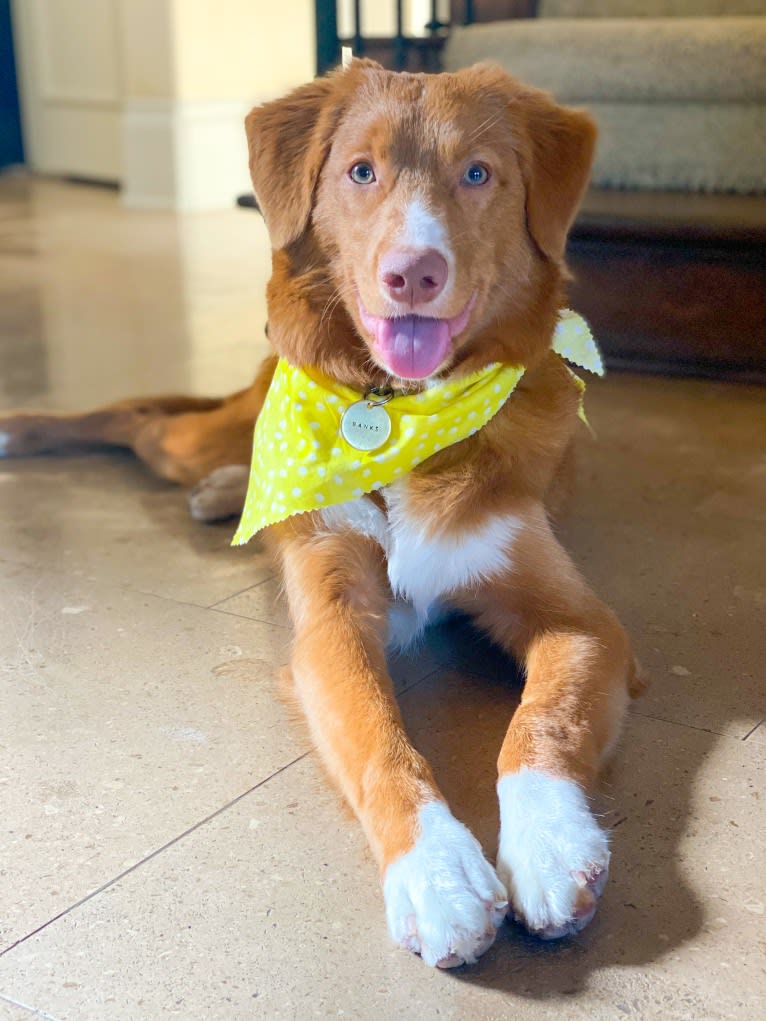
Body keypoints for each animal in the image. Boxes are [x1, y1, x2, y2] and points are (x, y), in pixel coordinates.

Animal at [1, 59, 649, 967]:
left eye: (478, 174)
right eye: (361, 171)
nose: (413, 273)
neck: (398, 416)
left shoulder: (581, 621)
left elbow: (540, 725)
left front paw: (551, 846)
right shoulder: (332, 618)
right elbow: (379, 735)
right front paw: (436, 872)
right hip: (196, 435)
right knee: (140, 420)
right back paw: (34, 431)